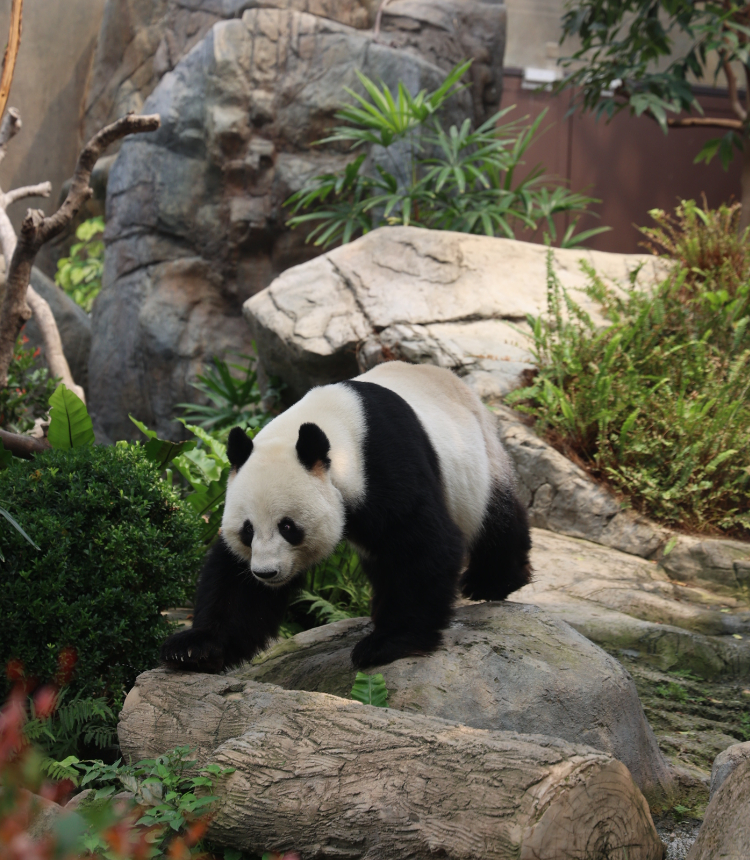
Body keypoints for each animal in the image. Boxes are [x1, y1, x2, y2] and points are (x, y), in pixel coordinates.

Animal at [160, 361, 531, 672]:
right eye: (247, 531)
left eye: (288, 527)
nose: (266, 573)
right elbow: (235, 583)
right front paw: (194, 648)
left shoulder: (385, 465)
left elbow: (422, 547)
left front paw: (387, 644)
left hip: (477, 463)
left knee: (496, 518)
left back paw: (491, 582)